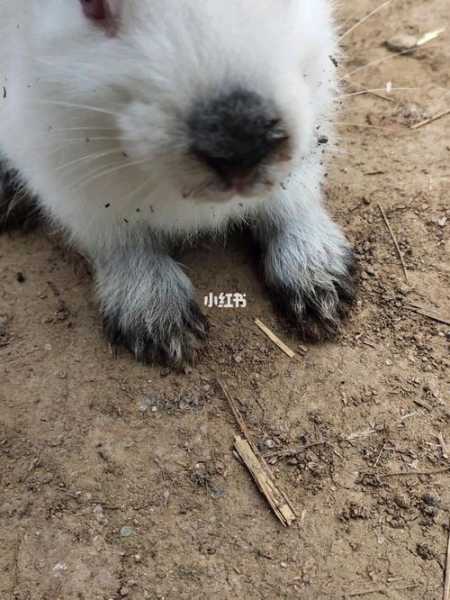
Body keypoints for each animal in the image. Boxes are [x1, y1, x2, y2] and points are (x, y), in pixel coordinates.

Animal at [1, 0, 356, 366]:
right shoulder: (63, 174)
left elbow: (292, 199)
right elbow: (120, 238)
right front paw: (155, 313)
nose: (240, 148)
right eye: (93, 6)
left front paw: (316, 276)